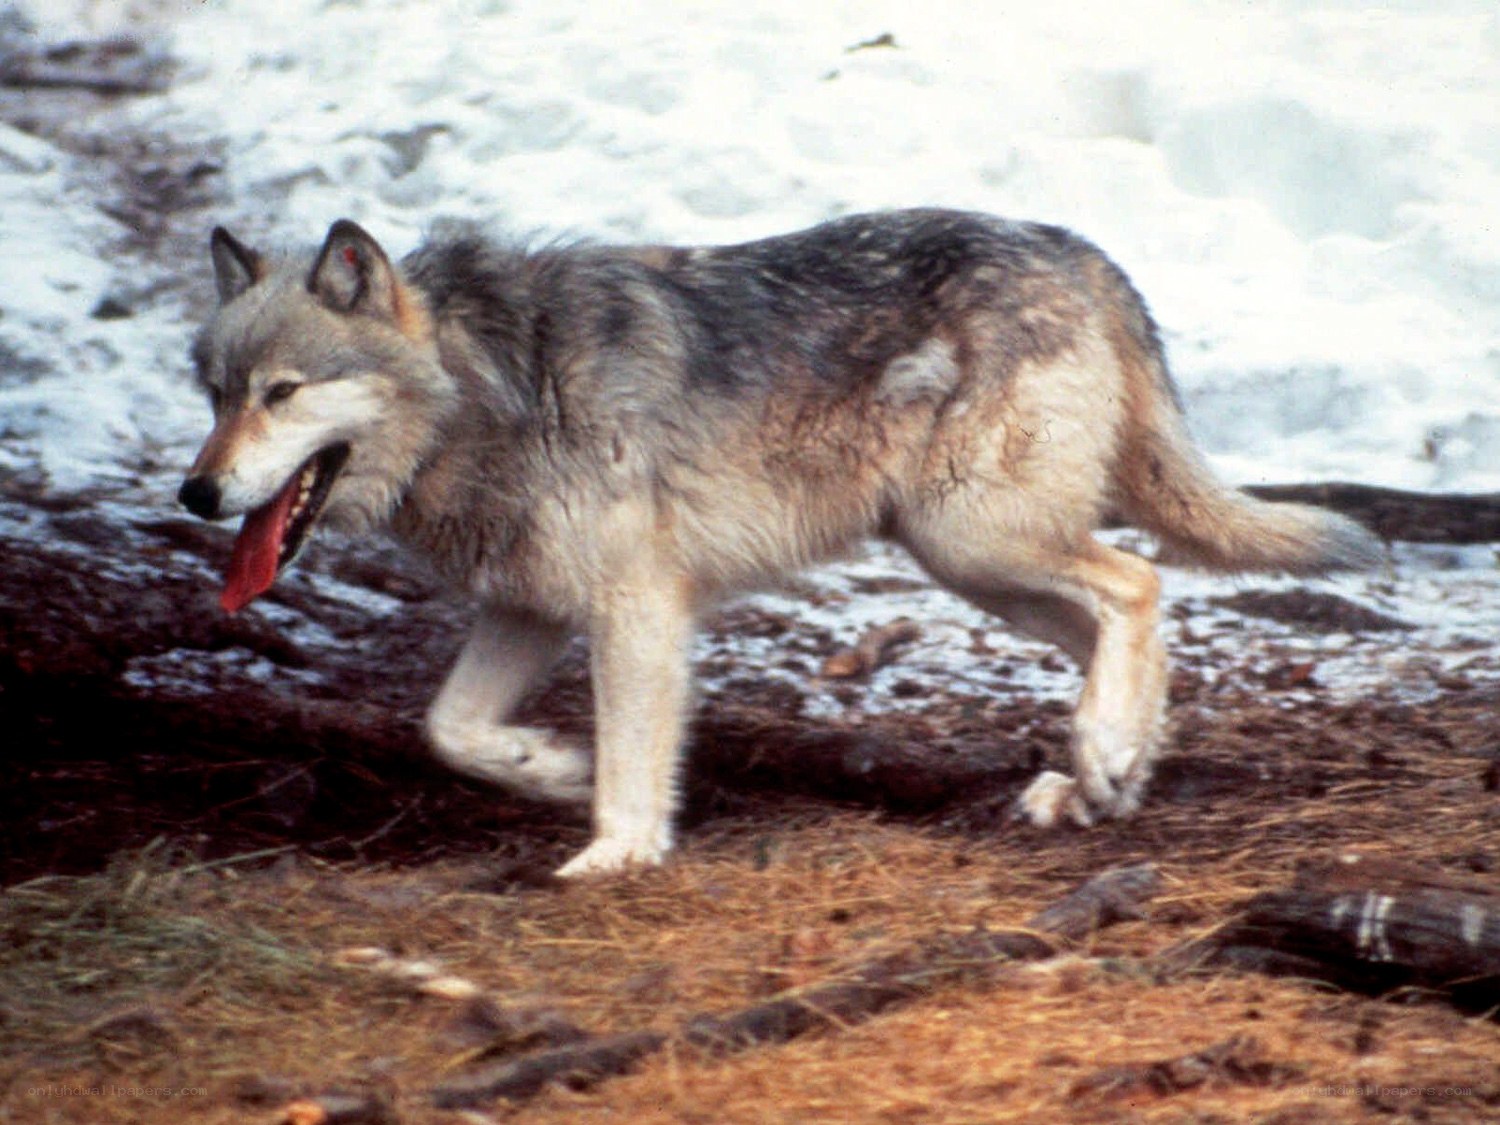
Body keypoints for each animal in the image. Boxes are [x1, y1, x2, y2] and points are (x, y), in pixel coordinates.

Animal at [177, 209, 1382, 876]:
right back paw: (1097, 778)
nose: (196, 492)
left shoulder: (638, 607)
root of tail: (1080, 250)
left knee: (1138, 584)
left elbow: (632, 759)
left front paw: (617, 853)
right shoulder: (529, 605)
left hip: (973, 537)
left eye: (283, 394)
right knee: (1123, 620)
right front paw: (553, 770)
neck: (493, 389)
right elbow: (450, 730)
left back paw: (1105, 757)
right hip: (968, 558)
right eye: (217, 392)